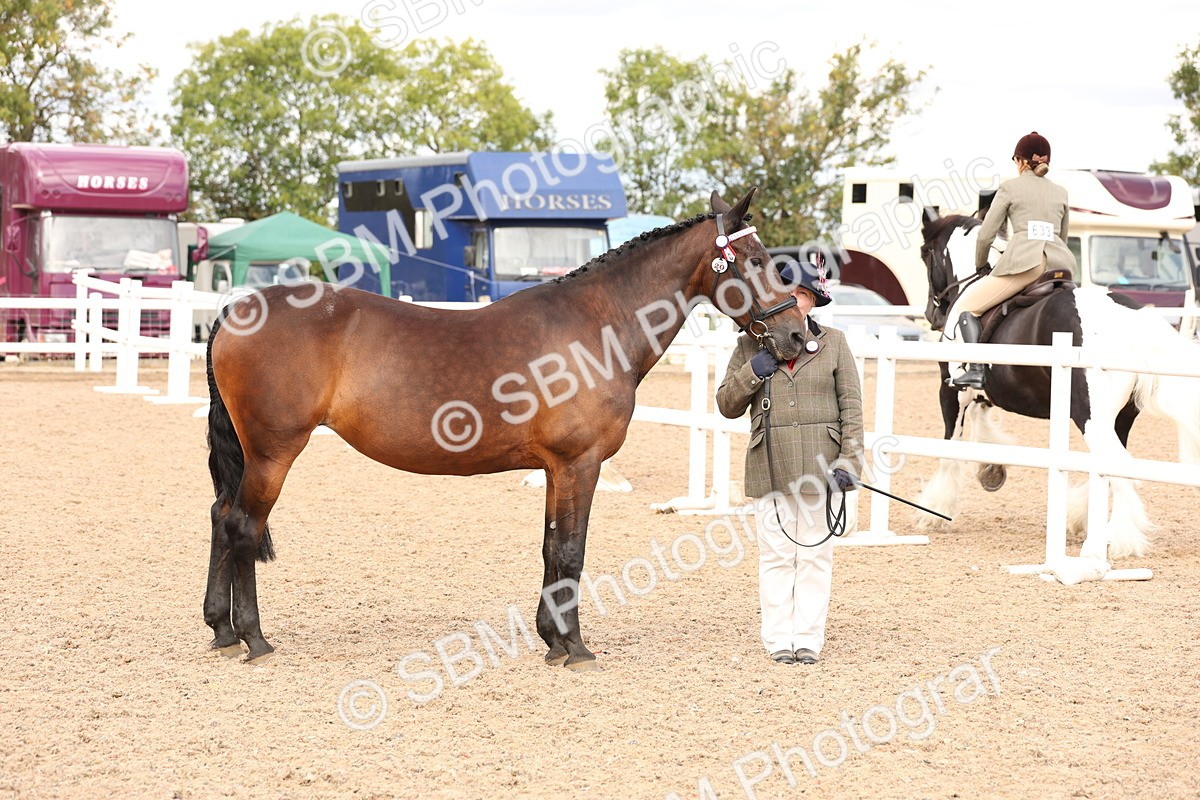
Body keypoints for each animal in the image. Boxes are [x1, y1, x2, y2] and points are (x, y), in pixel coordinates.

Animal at [204, 188, 805, 668]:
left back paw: (222, 629)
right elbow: (571, 551)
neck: (597, 325)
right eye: (756, 258)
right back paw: (254, 639)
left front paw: (552, 641)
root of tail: (237, 309)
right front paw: (576, 648)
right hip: (273, 454)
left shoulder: (556, 469)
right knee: (243, 527)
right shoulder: (580, 463)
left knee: (220, 516)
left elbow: (550, 548)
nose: (799, 334)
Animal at [915, 213, 1200, 559]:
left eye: (926, 253)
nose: (931, 314)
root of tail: (1130, 319)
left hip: (1088, 415)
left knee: (1116, 464)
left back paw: (1120, 539)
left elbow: (949, 449)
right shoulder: (984, 393)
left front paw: (934, 511)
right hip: (1118, 417)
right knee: (1109, 463)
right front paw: (992, 470)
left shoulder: (953, 392)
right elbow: (983, 426)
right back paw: (1085, 520)